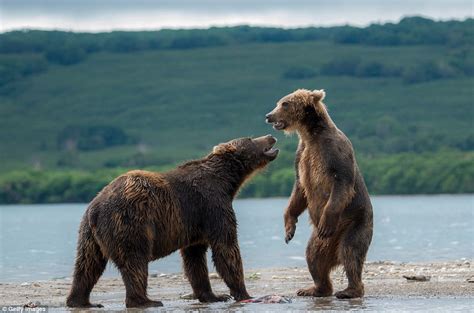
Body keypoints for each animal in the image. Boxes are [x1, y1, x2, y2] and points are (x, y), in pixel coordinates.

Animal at [65, 135, 280, 308]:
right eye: (250, 138)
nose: (271, 136)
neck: (227, 181)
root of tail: (95, 208)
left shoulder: (195, 224)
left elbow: (194, 259)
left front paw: (214, 295)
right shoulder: (212, 205)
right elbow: (226, 248)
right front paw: (242, 293)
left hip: (88, 234)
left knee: (88, 264)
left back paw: (82, 301)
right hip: (129, 222)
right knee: (134, 260)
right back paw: (146, 301)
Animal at [264, 89, 372, 298]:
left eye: (285, 104)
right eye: (279, 102)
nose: (268, 115)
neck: (310, 135)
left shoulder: (334, 150)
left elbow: (341, 182)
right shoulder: (301, 155)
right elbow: (299, 190)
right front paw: (289, 230)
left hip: (355, 222)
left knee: (350, 252)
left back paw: (350, 290)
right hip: (319, 240)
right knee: (313, 256)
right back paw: (313, 288)